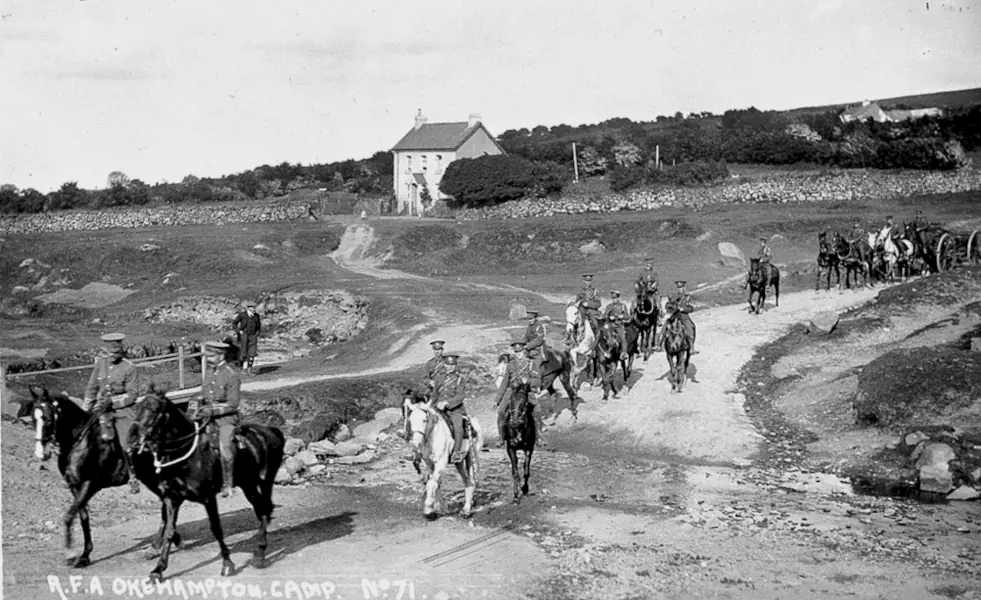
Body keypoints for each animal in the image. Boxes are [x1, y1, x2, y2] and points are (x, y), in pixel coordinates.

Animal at [132, 390, 284, 580]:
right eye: (137, 408)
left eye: (153, 409)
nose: (135, 437)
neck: (186, 455)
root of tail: (271, 430)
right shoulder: (172, 498)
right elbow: (169, 530)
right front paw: (158, 569)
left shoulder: (208, 497)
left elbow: (216, 529)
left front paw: (227, 563)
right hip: (248, 484)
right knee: (262, 509)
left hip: (265, 481)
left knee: (264, 510)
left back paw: (259, 554)